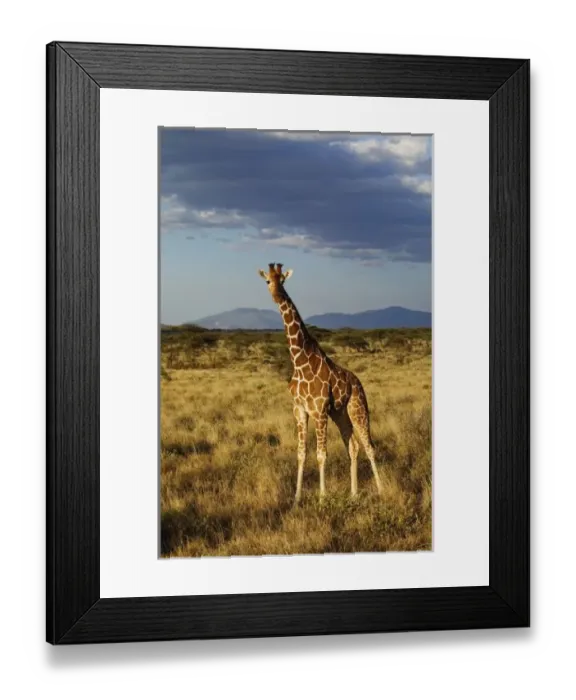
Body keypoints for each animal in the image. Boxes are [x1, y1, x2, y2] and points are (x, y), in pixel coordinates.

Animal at [258, 263, 383, 503]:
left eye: (283, 280)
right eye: (268, 281)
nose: (277, 295)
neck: (299, 362)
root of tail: (358, 382)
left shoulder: (319, 410)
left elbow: (321, 454)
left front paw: (323, 497)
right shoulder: (300, 410)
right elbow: (301, 453)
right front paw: (297, 498)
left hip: (357, 408)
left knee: (369, 446)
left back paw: (382, 490)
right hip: (340, 413)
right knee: (353, 447)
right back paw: (353, 494)